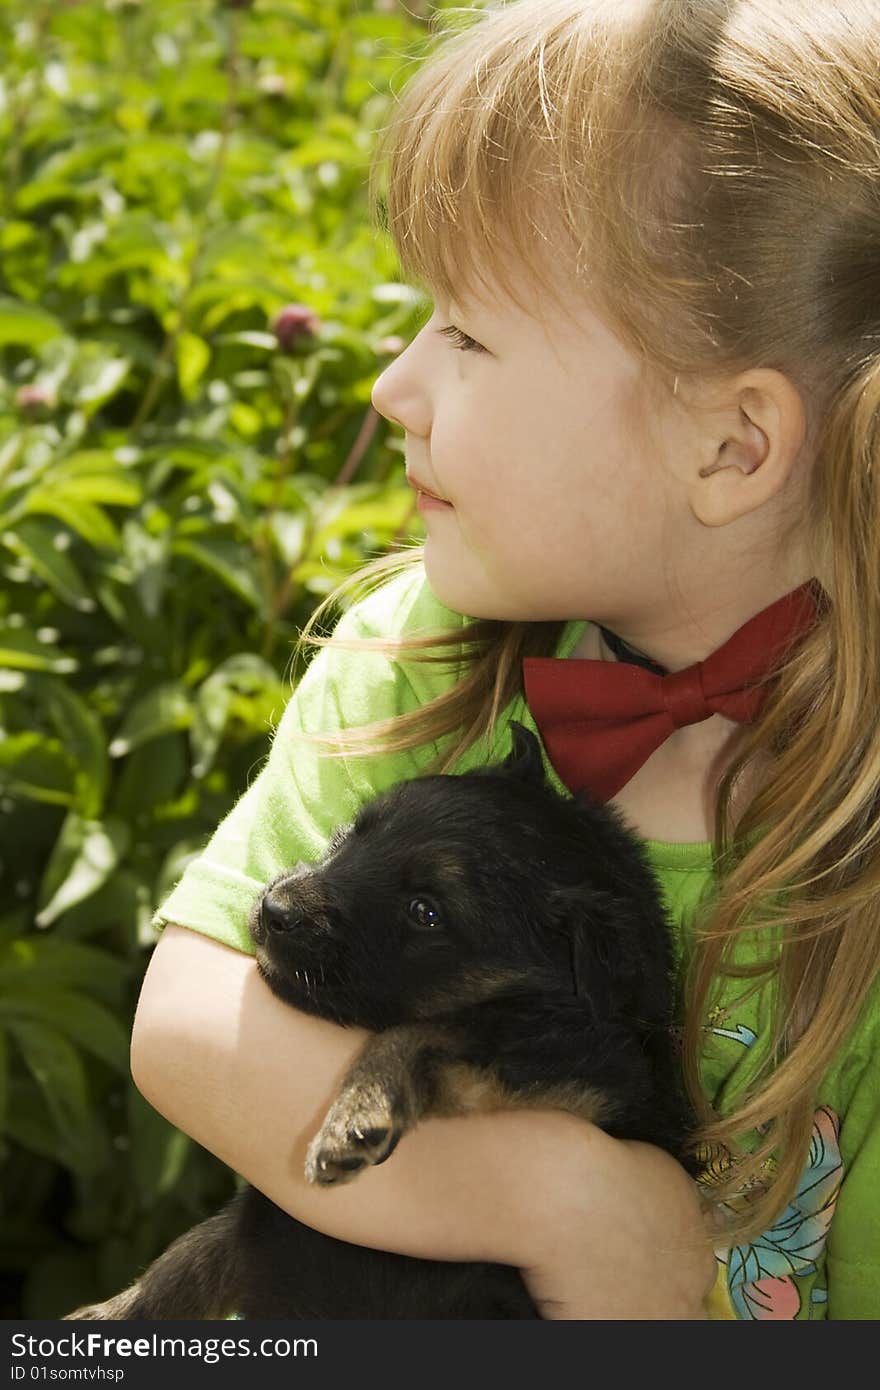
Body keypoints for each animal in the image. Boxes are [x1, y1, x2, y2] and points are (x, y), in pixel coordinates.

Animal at [67, 722, 692, 1317]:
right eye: (355, 832)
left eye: (426, 912)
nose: (274, 910)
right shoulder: (265, 1216)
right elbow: (192, 1254)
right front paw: (112, 1312)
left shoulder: (587, 1081)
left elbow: (428, 1031)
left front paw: (357, 1114)